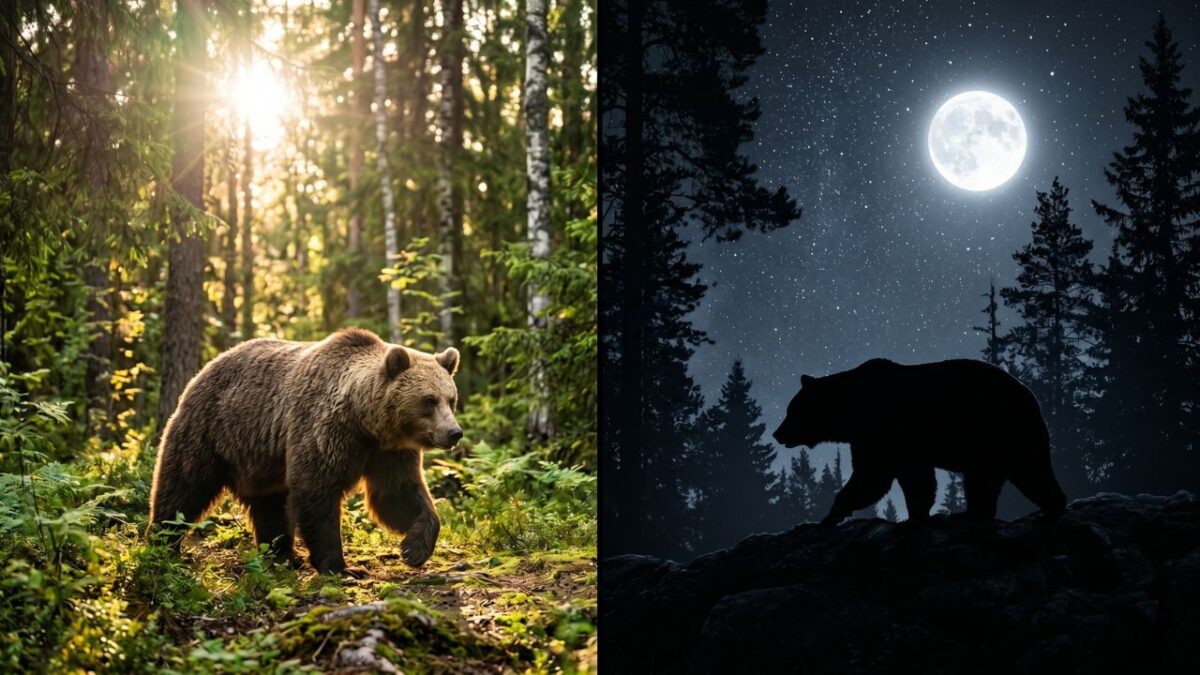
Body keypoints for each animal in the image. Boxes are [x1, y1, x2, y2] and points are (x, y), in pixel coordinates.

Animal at [148, 328, 462, 575]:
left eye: (451, 399)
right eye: (429, 400)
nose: (454, 432)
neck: (366, 422)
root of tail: (204, 368)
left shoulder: (389, 451)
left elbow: (398, 494)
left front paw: (414, 548)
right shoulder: (325, 429)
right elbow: (317, 490)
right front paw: (341, 567)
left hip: (260, 459)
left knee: (270, 505)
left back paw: (284, 555)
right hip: (211, 431)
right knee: (183, 486)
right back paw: (162, 542)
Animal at [771, 358, 1066, 526]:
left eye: (791, 411)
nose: (777, 433)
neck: (851, 411)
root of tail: (1032, 397)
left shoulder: (882, 432)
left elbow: (872, 477)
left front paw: (828, 517)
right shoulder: (894, 443)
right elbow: (913, 479)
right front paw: (918, 513)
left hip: (993, 431)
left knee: (993, 476)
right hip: (1010, 440)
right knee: (1026, 473)